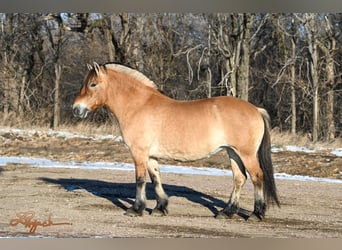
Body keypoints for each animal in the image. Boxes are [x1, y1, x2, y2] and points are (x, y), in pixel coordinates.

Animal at [73, 62, 280, 221]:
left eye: (93, 84)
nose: (76, 109)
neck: (139, 105)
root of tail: (256, 109)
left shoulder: (139, 153)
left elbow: (140, 180)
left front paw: (136, 209)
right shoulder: (150, 156)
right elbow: (155, 178)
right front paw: (160, 208)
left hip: (246, 154)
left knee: (257, 177)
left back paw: (256, 214)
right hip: (233, 152)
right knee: (239, 178)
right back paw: (227, 212)